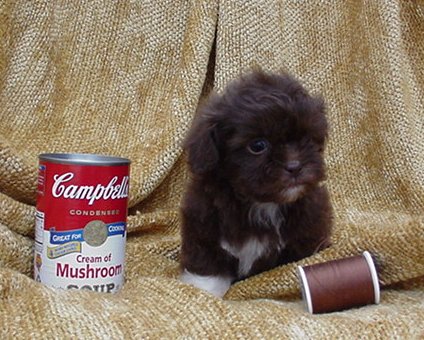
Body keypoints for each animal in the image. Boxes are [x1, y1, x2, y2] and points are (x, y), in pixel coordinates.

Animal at [179, 70, 332, 296]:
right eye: (258, 146)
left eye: (307, 138)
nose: (295, 166)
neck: (261, 204)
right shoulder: (203, 226)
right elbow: (207, 268)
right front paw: (203, 291)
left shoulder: (309, 229)